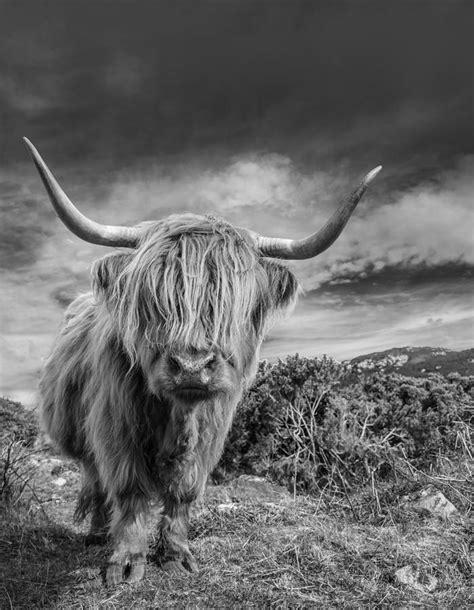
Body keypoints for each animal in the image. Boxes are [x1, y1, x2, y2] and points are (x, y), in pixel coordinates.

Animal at [25, 135, 382, 580]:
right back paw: (96, 533)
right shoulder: (116, 427)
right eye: (152, 299)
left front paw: (175, 556)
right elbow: (129, 490)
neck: (179, 415)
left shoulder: (211, 430)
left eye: (233, 302)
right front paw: (126, 563)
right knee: (96, 481)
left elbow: (183, 492)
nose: (192, 368)